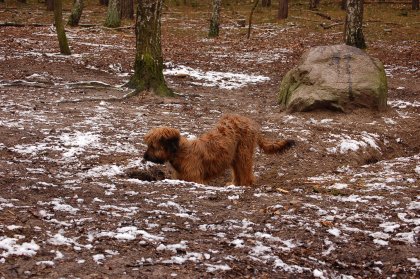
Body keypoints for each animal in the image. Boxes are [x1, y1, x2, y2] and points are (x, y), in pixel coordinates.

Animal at [144, 115, 296, 187]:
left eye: (153, 146)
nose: (145, 156)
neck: (181, 152)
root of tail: (247, 120)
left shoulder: (195, 178)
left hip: (243, 152)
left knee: (247, 173)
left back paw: (245, 184)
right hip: (234, 156)